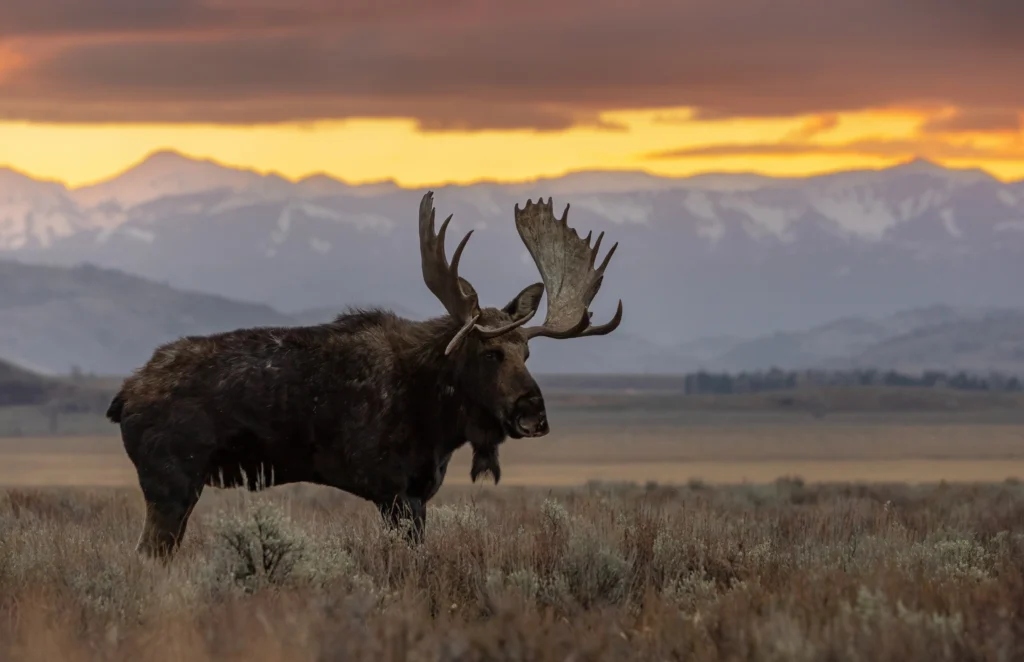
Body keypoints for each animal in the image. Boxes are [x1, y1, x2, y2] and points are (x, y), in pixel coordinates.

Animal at [105, 192, 622, 559]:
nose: (534, 415)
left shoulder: (418, 493)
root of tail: (124, 395)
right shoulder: (392, 491)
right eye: (490, 351)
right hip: (171, 483)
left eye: (528, 352)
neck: (441, 417)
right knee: (148, 556)